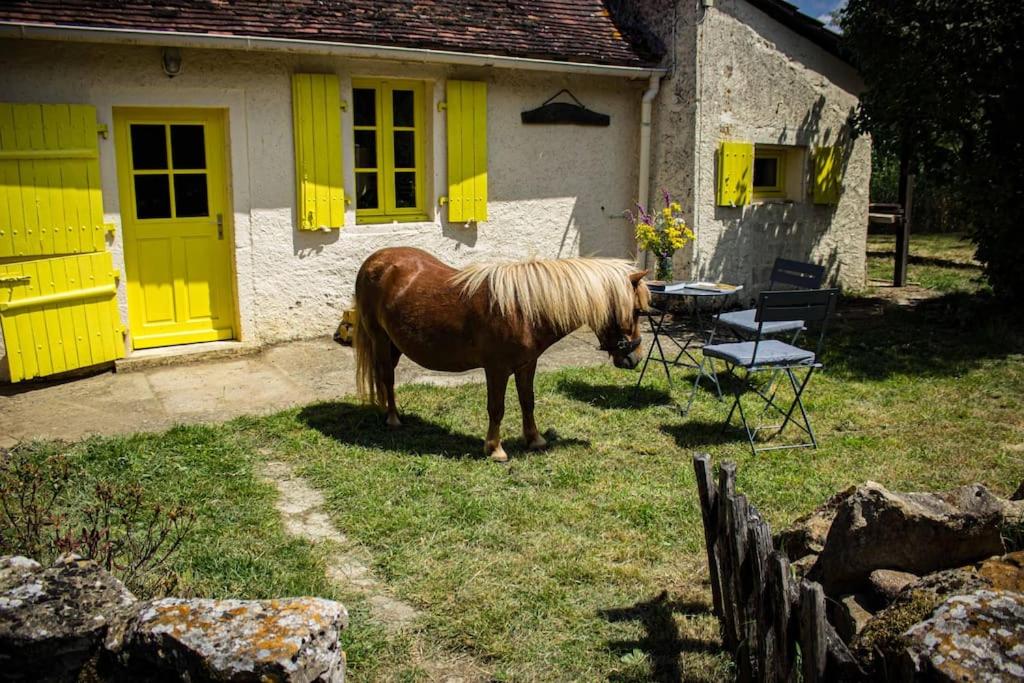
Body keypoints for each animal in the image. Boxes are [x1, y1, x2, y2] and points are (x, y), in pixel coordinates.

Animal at [354, 248, 647, 462]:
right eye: (636, 311)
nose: (635, 358)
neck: (523, 310)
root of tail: (375, 261)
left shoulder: (527, 365)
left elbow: (528, 402)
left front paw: (534, 439)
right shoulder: (496, 369)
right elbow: (497, 408)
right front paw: (495, 449)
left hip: (394, 345)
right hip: (380, 340)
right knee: (387, 379)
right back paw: (393, 419)